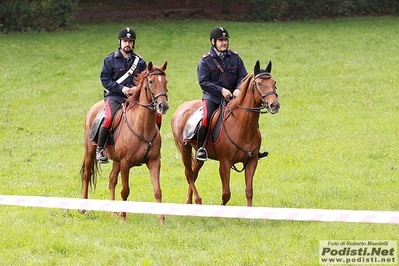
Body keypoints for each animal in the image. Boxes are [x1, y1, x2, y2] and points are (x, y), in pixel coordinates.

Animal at [80, 61, 168, 221]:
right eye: (151, 82)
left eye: (165, 82)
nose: (163, 106)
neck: (142, 127)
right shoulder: (125, 163)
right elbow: (125, 190)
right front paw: (123, 217)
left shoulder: (154, 162)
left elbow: (157, 190)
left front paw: (161, 219)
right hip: (90, 152)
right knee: (87, 176)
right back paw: (83, 208)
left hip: (116, 160)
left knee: (111, 180)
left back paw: (113, 212)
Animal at [172, 60, 282, 206]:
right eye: (259, 83)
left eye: (274, 82)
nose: (275, 105)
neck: (242, 126)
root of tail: (180, 107)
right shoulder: (225, 163)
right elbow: (226, 194)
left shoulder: (252, 161)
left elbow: (249, 191)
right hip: (184, 148)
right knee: (189, 174)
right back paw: (197, 200)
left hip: (199, 155)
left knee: (193, 173)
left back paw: (189, 202)